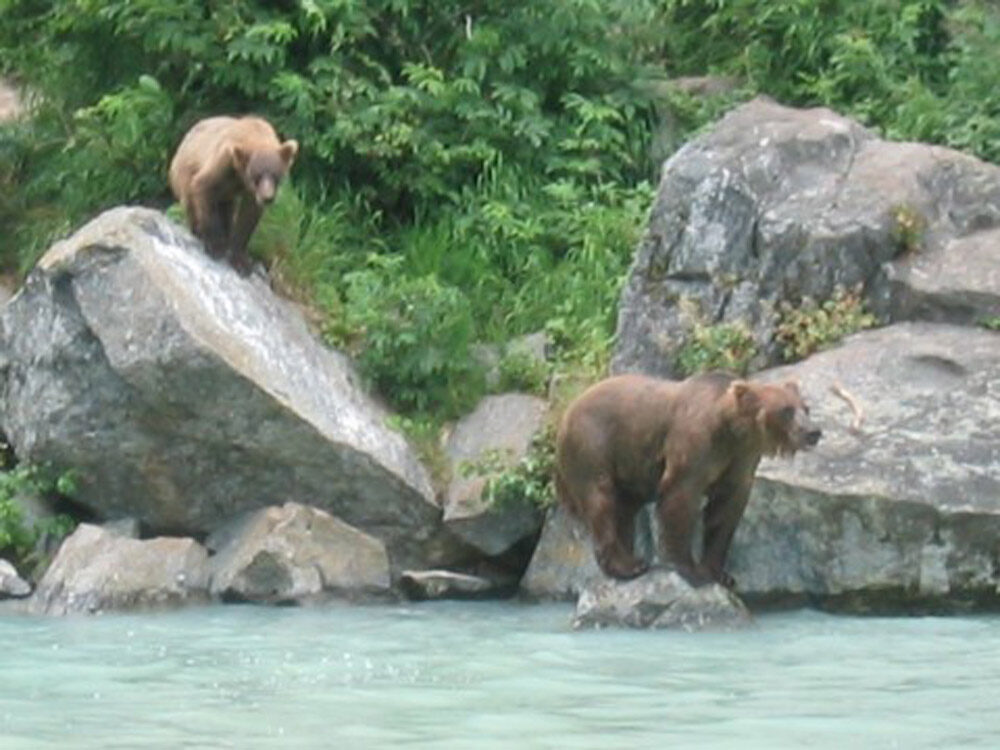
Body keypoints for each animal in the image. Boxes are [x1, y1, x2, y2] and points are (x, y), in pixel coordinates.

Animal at [168, 116, 298, 274]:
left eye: (275, 175)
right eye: (257, 176)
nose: (267, 197)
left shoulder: (249, 192)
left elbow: (248, 217)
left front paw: (241, 261)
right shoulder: (224, 161)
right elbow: (203, 187)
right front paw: (215, 246)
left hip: (226, 194)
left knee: (227, 209)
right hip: (183, 172)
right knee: (191, 201)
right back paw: (199, 230)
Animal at [555, 371, 821, 588]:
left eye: (806, 408)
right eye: (786, 410)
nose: (813, 432)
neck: (731, 429)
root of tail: (567, 409)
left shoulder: (740, 459)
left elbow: (725, 512)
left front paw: (720, 574)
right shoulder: (695, 444)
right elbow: (680, 497)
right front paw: (691, 569)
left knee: (624, 510)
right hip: (594, 445)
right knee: (601, 500)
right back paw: (629, 565)